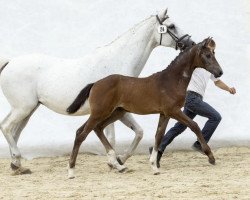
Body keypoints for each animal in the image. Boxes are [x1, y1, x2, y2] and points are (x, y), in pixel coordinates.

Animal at [66, 38, 223, 178]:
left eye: (214, 53)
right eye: (207, 55)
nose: (220, 72)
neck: (171, 81)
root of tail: (95, 84)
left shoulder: (165, 114)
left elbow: (159, 136)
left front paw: (154, 166)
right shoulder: (173, 111)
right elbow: (194, 125)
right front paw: (210, 156)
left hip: (115, 113)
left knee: (95, 128)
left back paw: (118, 165)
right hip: (100, 113)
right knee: (82, 134)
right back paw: (71, 171)